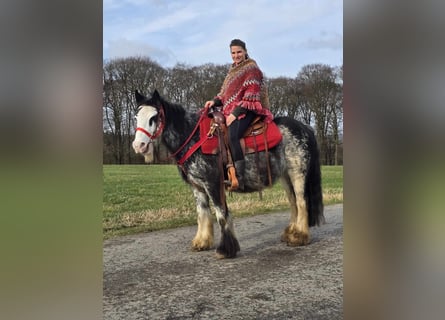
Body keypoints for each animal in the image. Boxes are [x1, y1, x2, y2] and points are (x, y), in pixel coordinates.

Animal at [132, 89, 322, 258]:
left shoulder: (213, 184)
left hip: (297, 174)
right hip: (285, 177)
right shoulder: (197, 187)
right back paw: (291, 233)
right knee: (293, 202)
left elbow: (221, 215)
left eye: (154, 117)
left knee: (301, 201)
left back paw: (299, 237)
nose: (138, 146)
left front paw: (225, 250)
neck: (194, 139)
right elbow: (202, 213)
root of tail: (305, 127)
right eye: (136, 117)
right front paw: (202, 242)